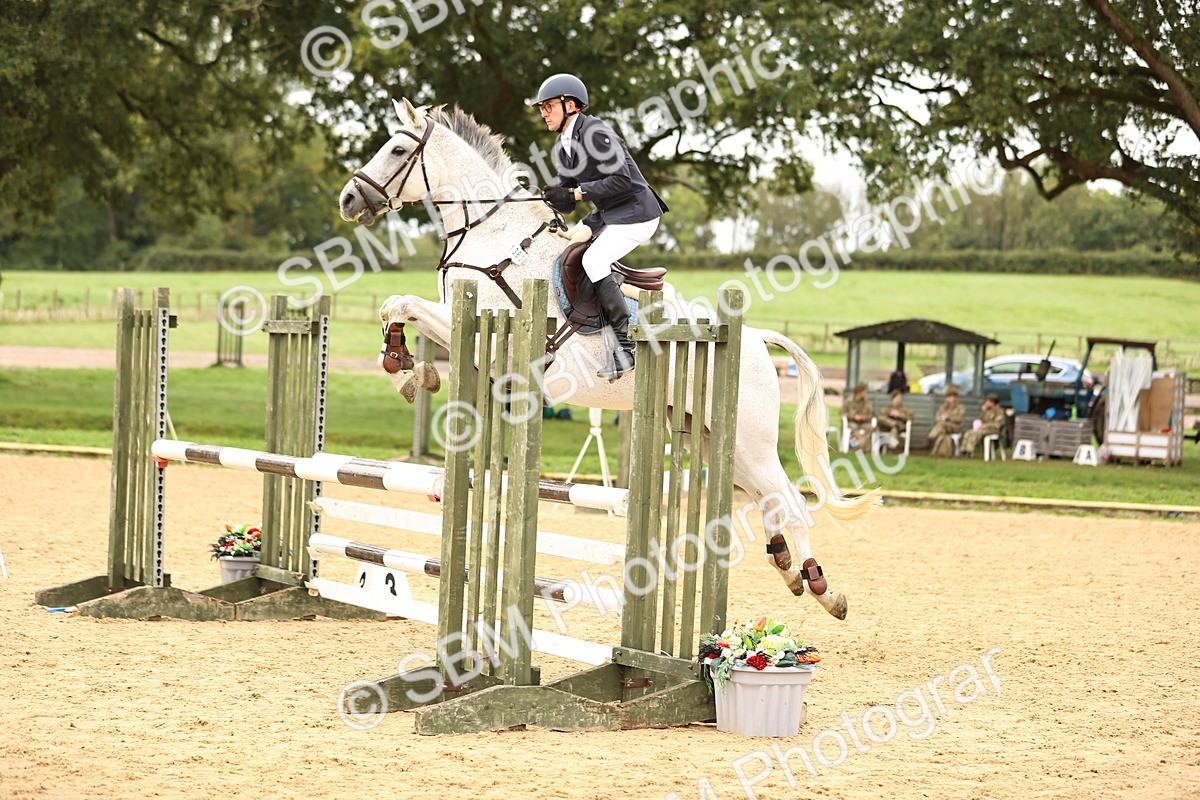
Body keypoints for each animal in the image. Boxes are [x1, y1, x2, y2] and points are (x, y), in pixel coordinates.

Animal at [338, 98, 876, 619]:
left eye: (396, 150)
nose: (347, 199)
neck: (489, 235)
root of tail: (757, 339)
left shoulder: (479, 325)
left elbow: (402, 303)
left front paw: (407, 369)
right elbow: (396, 307)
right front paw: (410, 369)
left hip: (750, 439)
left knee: (790, 500)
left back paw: (823, 588)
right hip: (714, 441)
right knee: (768, 499)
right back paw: (792, 570)